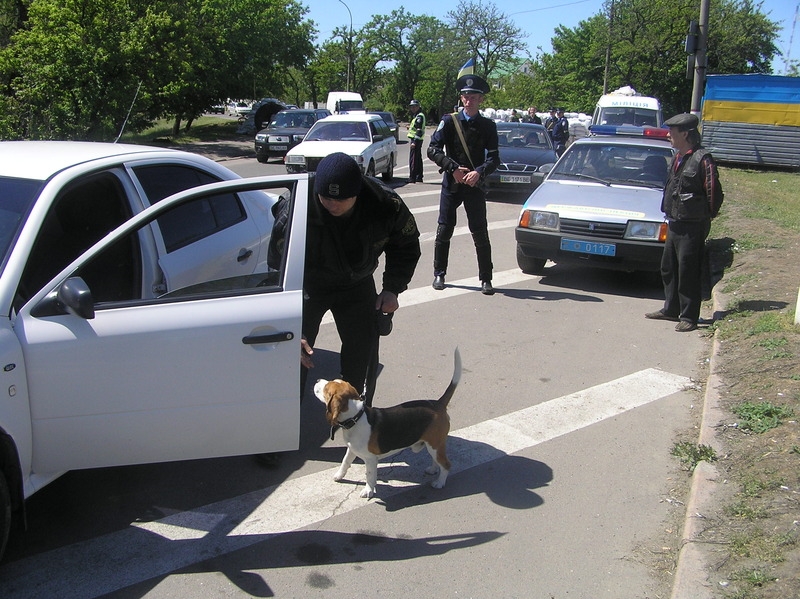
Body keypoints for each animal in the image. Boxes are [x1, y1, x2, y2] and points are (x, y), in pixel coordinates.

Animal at [314, 350, 462, 500]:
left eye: (326, 388)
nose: (317, 380)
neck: (356, 417)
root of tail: (437, 404)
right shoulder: (351, 449)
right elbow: (345, 462)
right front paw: (339, 475)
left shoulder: (370, 459)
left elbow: (369, 476)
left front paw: (368, 491)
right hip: (432, 444)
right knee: (436, 461)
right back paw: (433, 469)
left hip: (435, 444)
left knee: (446, 465)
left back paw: (439, 483)